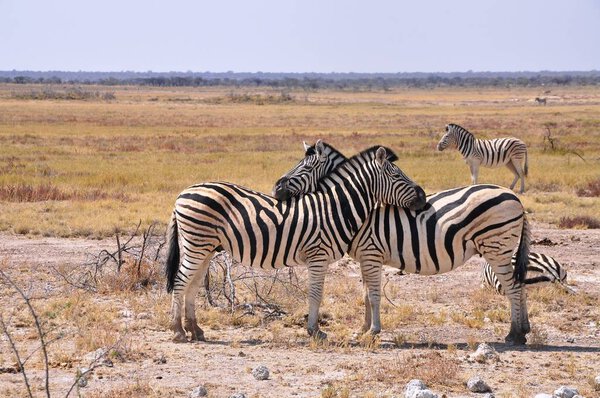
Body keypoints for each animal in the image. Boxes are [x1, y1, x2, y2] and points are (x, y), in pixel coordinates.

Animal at [165, 145, 426, 342]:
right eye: (397, 175)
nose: (423, 197)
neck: (335, 208)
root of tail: (182, 193)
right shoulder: (318, 255)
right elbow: (316, 293)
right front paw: (315, 331)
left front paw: (315, 329)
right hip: (196, 244)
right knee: (180, 281)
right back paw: (178, 331)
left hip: (205, 247)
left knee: (193, 284)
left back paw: (195, 330)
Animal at [274, 141, 532, 344]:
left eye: (305, 167)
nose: (276, 188)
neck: (357, 211)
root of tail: (516, 199)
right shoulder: (365, 258)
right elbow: (365, 294)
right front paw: (362, 329)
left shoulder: (371, 253)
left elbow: (373, 294)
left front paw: (373, 331)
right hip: (503, 248)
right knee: (519, 284)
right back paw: (524, 330)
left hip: (496, 246)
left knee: (512, 286)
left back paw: (514, 335)